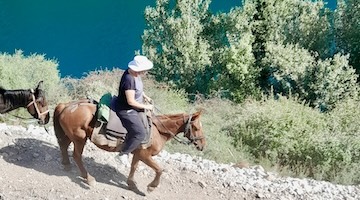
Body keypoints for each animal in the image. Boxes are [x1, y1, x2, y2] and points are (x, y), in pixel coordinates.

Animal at [53, 99, 205, 191]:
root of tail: (67, 105)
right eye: (196, 127)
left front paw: (131, 183)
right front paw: (151, 187)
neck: (158, 130)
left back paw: (66, 165)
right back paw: (88, 178)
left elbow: (134, 167)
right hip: (79, 138)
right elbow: (159, 169)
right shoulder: (145, 155)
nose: (202, 145)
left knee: (63, 146)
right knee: (77, 156)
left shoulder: (138, 153)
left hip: (70, 136)